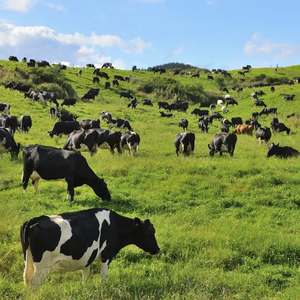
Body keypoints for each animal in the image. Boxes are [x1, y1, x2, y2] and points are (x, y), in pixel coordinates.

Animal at [20, 207, 159, 290]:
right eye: (147, 233)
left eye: (154, 231)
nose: (157, 249)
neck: (114, 225)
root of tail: (34, 220)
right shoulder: (107, 255)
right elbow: (103, 276)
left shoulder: (88, 258)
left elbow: (85, 277)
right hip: (41, 266)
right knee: (34, 284)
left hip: (28, 260)